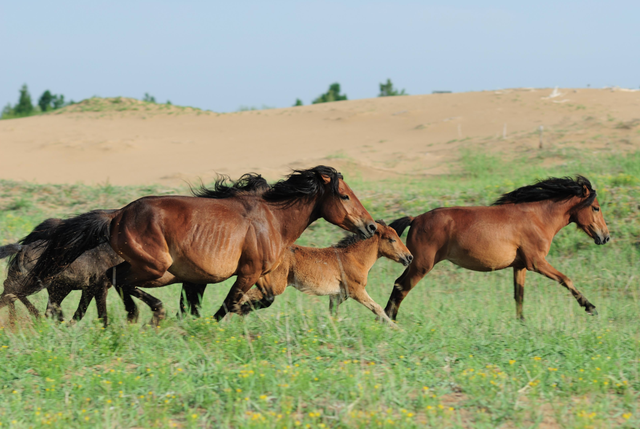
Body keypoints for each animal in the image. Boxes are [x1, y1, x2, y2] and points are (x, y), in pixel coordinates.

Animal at [26, 166, 376, 322]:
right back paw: (146, 314)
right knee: (117, 280)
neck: (272, 218)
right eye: (345, 196)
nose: (370, 226)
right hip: (156, 267)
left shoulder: (260, 275)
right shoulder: (247, 273)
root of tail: (117, 215)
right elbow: (228, 305)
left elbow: (261, 301)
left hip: (151, 267)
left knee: (107, 279)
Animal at [218, 221, 412, 320]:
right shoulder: (356, 291)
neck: (354, 258)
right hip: (275, 286)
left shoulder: (338, 295)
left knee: (242, 296)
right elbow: (377, 308)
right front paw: (397, 329)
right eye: (392, 239)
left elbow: (332, 314)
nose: (409, 257)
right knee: (244, 296)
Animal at [384, 176, 608, 320]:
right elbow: (566, 279)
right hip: (422, 265)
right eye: (596, 208)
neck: (538, 218)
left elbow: (519, 295)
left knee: (397, 284)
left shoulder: (520, 266)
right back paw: (389, 319)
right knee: (402, 287)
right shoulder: (537, 262)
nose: (605, 236)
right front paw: (591, 308)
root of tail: (415, 219)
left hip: (415, 264)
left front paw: (521, 323)